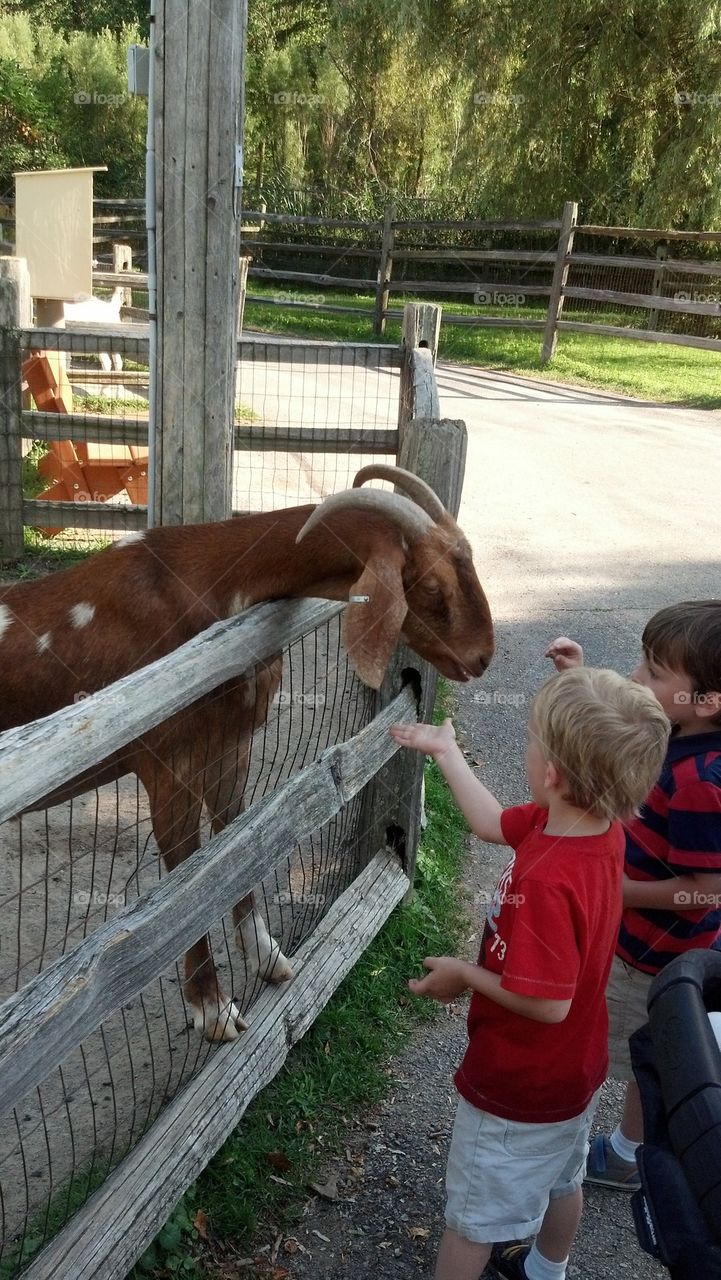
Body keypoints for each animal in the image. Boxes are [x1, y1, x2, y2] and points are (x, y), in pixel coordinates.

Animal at [0, 465, 493, 1040]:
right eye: (433, 585)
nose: (483, 657)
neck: (211, 584)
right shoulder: (168, 765)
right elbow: (185, 883)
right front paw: (213, 1010)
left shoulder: (229, 751)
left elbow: (236, 849)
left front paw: (268, 957)